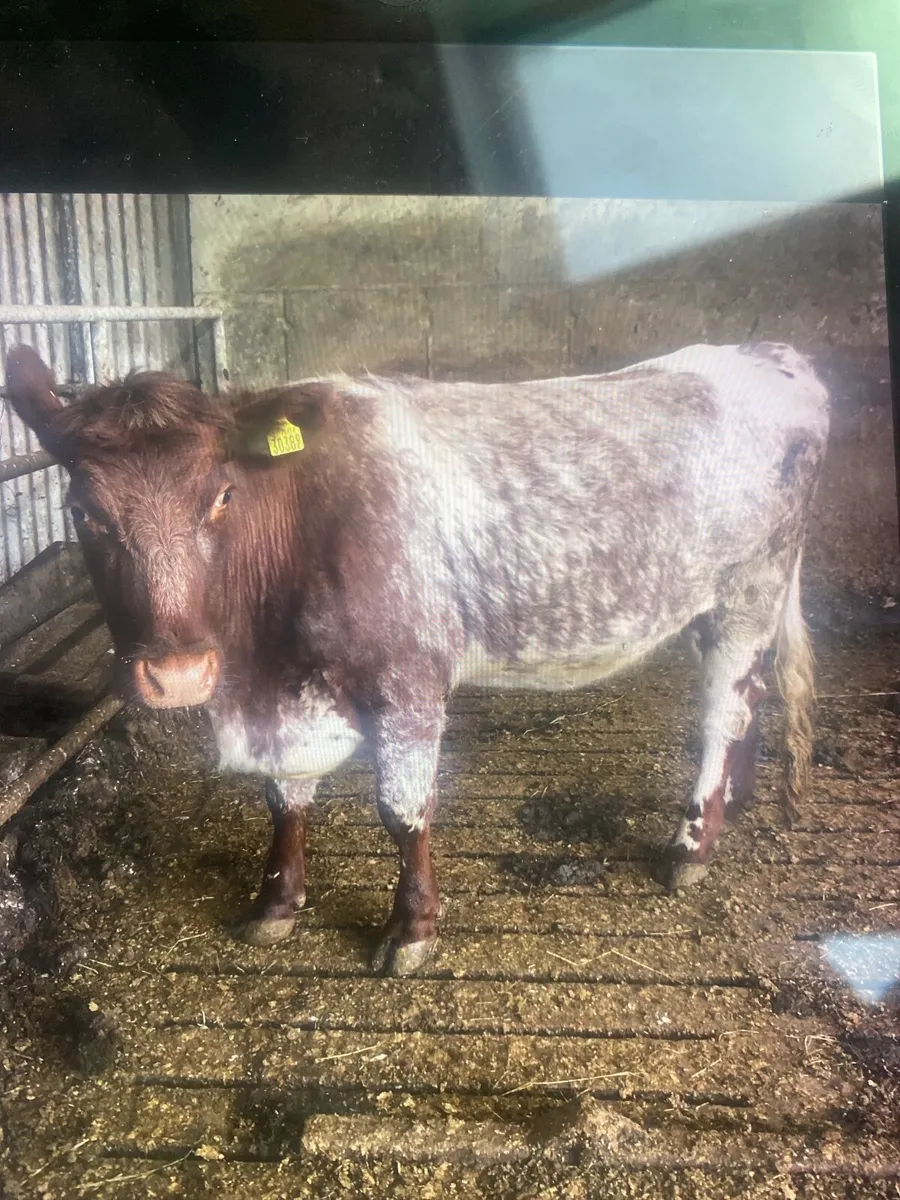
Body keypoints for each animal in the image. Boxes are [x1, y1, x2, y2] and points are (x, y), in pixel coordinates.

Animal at [5, 341, 828, 976]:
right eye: (83, 511)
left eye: (223, 496)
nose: (175, 674)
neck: (259, 668)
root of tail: (772, 355)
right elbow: (284, 797)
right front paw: (275, 903)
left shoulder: (408, 683)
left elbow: (402, 811)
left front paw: (411, 929)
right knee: (750, 697)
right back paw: (736, 802)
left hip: (750, 588)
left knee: (722, 712)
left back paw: (692, 843)